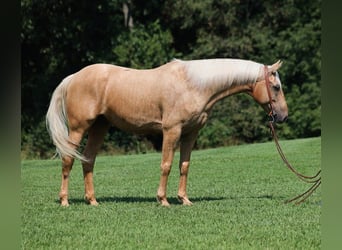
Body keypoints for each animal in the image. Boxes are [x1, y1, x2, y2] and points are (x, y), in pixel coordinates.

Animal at [44, 57, 286, 206]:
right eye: (276, 87)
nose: (283, 116)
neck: (193, 84)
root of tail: (73, 77)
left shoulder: (190, 133)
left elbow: (184, 165)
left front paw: (184, 199)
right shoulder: (171, 130)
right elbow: (166, 165)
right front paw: (163, 200)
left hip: (99, 127)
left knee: (88, 160)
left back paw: (93, 201)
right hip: (78, 129)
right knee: (68, 160)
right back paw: (64, 201)